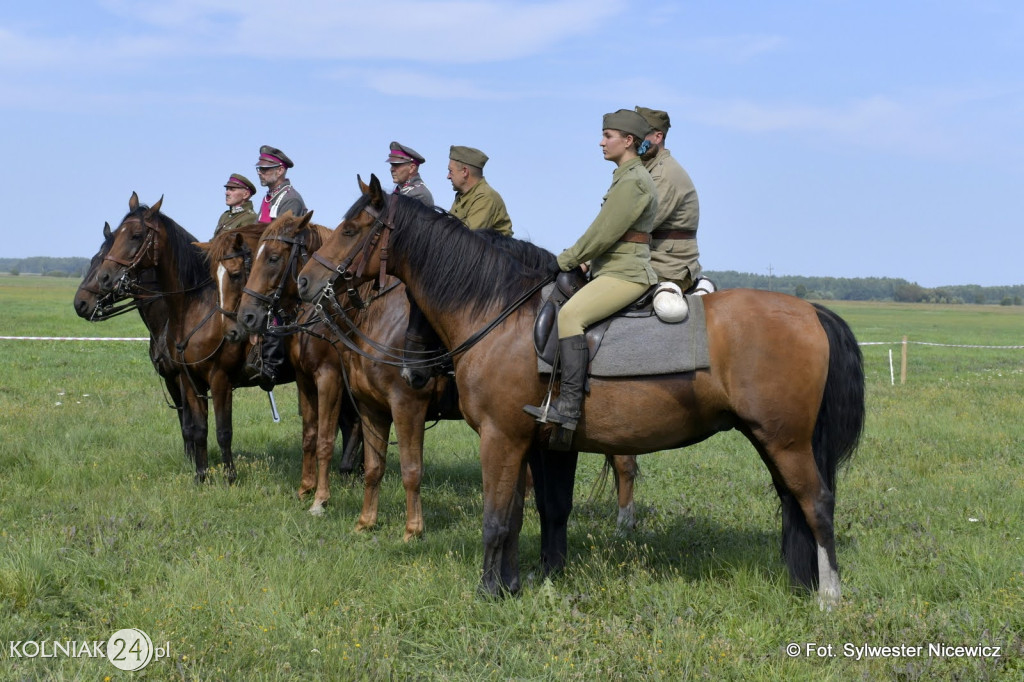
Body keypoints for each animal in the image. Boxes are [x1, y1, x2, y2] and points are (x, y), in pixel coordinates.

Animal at [92, 191, 294, 481]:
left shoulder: (220, 379)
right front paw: (201, 476)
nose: (105, 277)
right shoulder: (188, 380)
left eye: (136, 235)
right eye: (118, 234)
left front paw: (230, 478)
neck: (193, 311)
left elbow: (223, 431)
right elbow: (198, 429)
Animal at [296, 175, 864, 606]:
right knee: (794, 503)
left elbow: (496, 519)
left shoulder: (501, 439)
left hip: (785, 440)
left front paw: (487, 592)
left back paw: (829, 594)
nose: (304, 282)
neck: (502, 315)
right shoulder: (539, 444)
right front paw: (519, 584)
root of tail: (811, 311)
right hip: (770, 438)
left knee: (816, 502)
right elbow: (533, 514)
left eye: (352, 228)